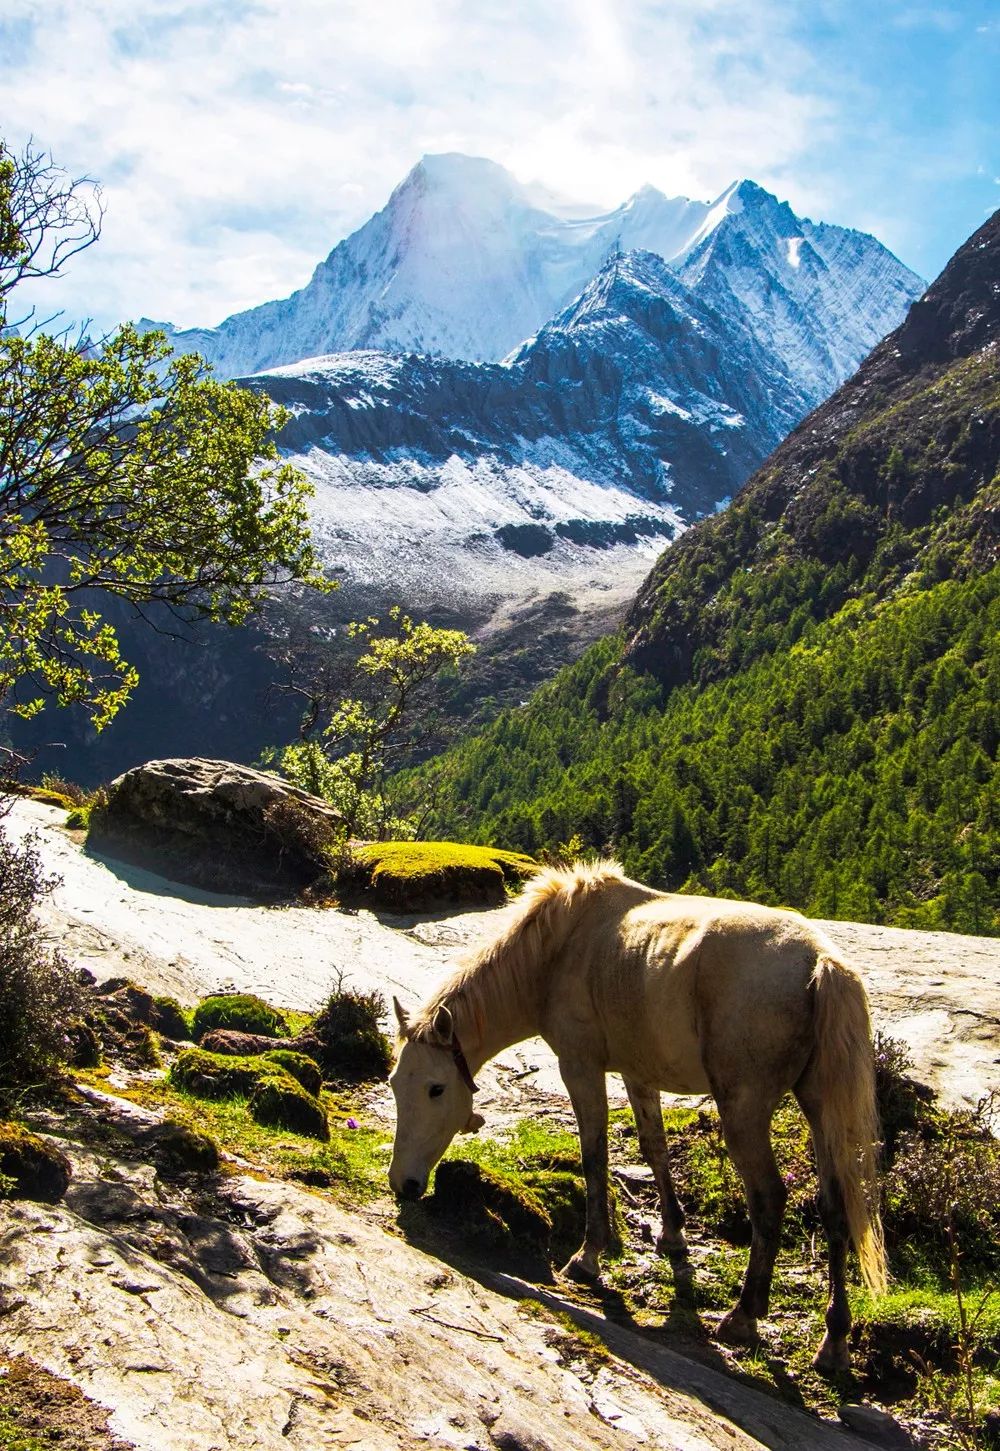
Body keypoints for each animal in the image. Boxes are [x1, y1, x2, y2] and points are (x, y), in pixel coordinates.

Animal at [386, 858, 888, 1369]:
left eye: (435, 1089)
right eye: (394, 1085)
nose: (403, 1184)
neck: (557, 950)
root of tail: (821, 963)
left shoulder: (580, 1067)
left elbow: (594, 1156)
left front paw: (588, 1257)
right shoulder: (638, 1073)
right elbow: (655, 1149)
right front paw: (672, 1235)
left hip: (745, 1110)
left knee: (768, 1198)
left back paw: (744, 1316)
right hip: (820, 1108)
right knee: (836, 1206)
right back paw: (834, 1341)